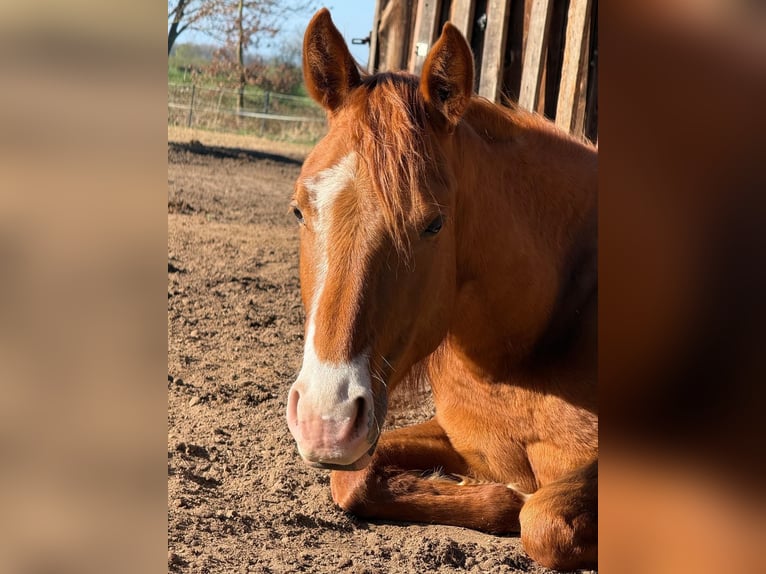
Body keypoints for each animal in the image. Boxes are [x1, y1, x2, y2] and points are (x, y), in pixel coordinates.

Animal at [285, 9, 597, 571]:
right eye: (300, 210)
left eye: (433, 224)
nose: (326, 421)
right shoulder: (451, 433)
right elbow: (352, 482)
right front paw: (494, 494)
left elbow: (543, 520)